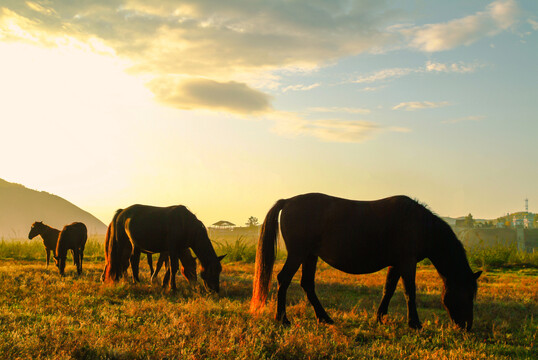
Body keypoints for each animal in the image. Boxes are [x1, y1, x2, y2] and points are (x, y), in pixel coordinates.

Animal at [251, 194, 482, 332]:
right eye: (466, 294)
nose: (467, 326)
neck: (420, 225)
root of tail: (288, 200)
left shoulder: (396, 263)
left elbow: (389, 289)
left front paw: (380, 317)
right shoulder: (407, 262)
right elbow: (410, 291)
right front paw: (414, 323)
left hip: (310, 256)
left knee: (307, 284)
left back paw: (325, 318)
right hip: (298, 254)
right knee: (283, 279)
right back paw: (283, 319)